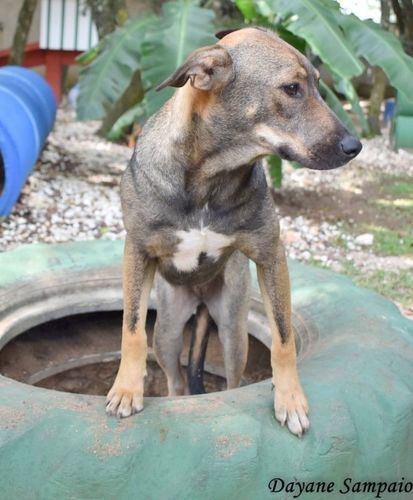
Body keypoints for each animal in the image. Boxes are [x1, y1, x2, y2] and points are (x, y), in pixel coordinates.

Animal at [106, 27, 360, 436]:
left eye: (319, 87)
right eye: (292, 88)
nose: (355, 146)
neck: (211, 178)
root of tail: (199, 298)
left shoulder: (271, 254)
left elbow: (284, 339)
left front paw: (290, 398)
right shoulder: (138, 251)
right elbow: (131, 330)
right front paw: (126, 389)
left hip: (232, 330)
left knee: (233, 378)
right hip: (168, 331)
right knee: (175, 377)